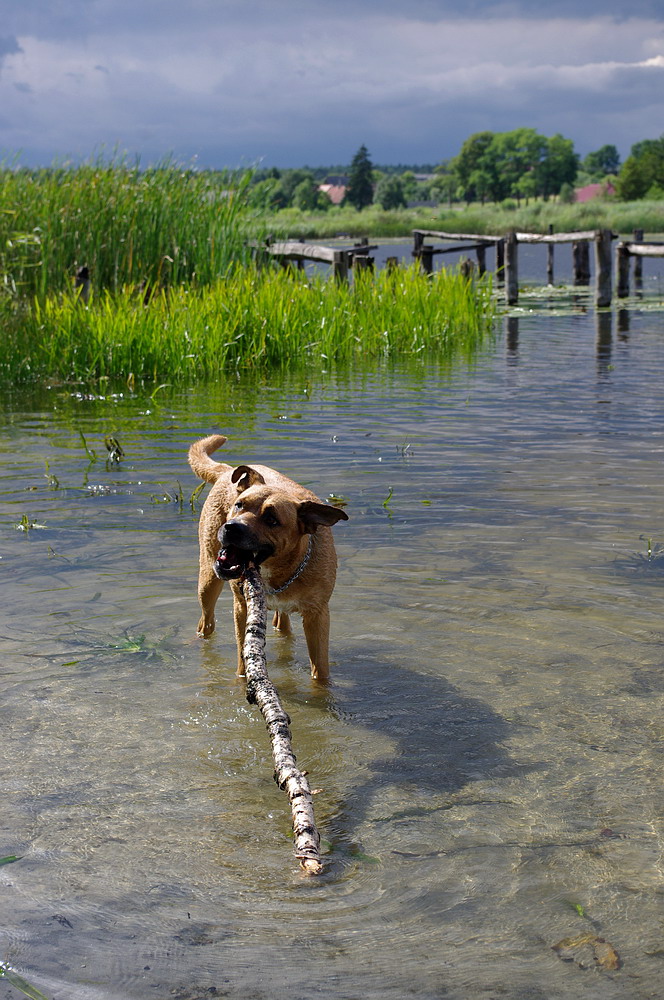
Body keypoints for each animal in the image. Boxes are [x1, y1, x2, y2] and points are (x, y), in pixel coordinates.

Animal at [188, 434, 348, 684]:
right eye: (239, 505)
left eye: (272, 519)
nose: (231, 528)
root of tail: (228, 470)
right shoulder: (242, 607)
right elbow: (242, 655)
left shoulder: (318, 615)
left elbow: (320, 668)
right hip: (208, 581)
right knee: (206, 622)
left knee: (282, 623)